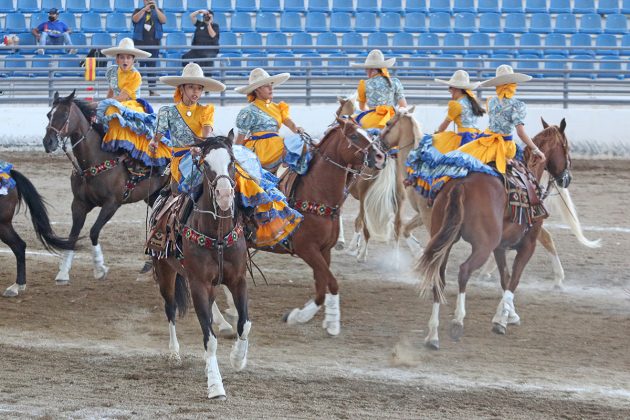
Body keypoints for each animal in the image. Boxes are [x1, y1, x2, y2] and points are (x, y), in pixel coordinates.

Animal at [42, 91, 170, 286]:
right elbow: (72, 237)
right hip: (153, 196)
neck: (94, 161)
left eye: (64, 114)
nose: (47, 142)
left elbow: (94, 231)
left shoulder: (112, 204)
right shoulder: (79, 204)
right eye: (49, 115)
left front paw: (100, 268)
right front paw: (63, 273)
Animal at [152, 133, 251, 398]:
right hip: (165, 272)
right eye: (205, 164)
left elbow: (245, 324)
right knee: (170, 309)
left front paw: (238, 359)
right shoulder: (198, 285)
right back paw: (174, 354)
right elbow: (210, 339)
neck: (217, 235)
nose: (225, 195)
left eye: (232, 160)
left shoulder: (238, 280)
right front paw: (215, 385)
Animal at [418, 117, 576, 348]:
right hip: (483, 246)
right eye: (566, 147)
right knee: (464, 270)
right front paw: (501, 320)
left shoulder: (500, 247)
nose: (567, 178)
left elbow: (505, 278)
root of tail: (461, 185)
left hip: (443, 241)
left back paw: (432, 334)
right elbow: (514, 279)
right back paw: (457, 321)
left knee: (439, 277)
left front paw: (509, 314)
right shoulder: (528, 244)